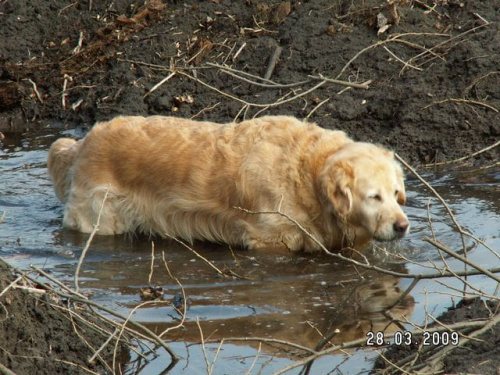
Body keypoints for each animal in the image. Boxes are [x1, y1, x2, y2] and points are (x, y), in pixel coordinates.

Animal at [47, 116, 408, 254]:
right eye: (373, 197)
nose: (402, 226)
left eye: (395, 194)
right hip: (101, 216)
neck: (306, 171)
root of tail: (84, 141)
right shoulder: (269, 239)